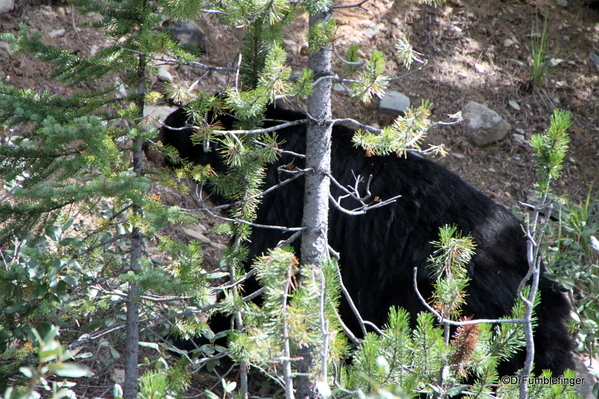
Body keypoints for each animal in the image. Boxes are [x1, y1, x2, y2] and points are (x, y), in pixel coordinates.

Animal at [159, 101, 576, 376]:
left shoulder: (283, 207)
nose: (164, 124)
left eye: (190, 119)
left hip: (452, 298)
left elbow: (259, 278)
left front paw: (201, 338)